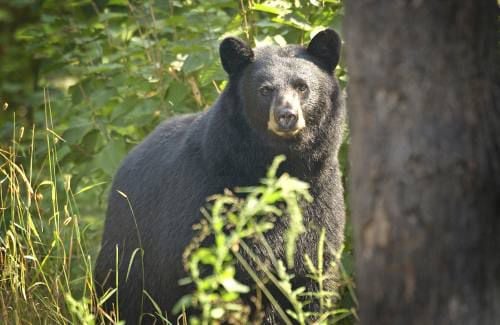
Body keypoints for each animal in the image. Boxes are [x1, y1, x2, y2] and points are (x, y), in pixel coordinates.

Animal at [93, 29, 344, 322]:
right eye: (265, 89)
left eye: (302, 87)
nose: (287, 116)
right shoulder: (210, 196)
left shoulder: (319, 197)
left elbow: (311, 276)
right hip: (130, 244)